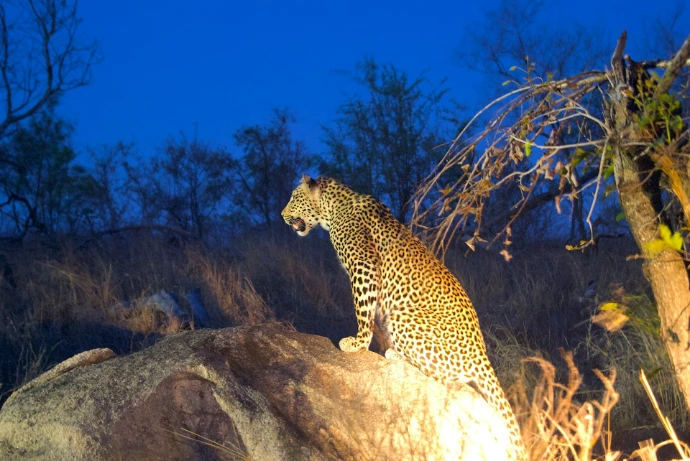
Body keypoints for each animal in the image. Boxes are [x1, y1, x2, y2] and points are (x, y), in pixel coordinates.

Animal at [281, 174, 525, 459]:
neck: (334, 208)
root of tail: (482, 355)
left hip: (402, 317)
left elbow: (363, 309)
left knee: (443, 378)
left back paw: (395, 354)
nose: (282, 215)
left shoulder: (364, 266)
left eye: (294, 198)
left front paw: (357, 344)